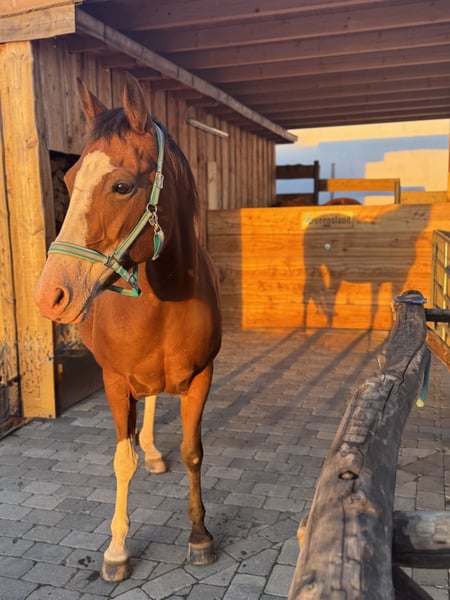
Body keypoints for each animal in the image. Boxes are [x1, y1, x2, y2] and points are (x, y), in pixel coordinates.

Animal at [35, 75, 222, 583]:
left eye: (121, 185)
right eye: (68, 180)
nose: (49, 295)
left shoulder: (202, 378)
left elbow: (193, 451)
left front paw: (200, 536)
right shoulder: (116, 382)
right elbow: (123, 460)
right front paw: (117, 550)